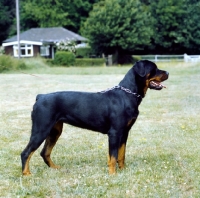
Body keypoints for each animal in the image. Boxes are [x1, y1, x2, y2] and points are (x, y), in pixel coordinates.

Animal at [20, 60, 169, 175]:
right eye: (154, 69)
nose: (167, 72)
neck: (127, 94)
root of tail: (40, 96)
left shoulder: (124, 132)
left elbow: (121, 154)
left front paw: (123, 170)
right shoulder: (114, 133)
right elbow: (113, 156)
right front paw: (113, 174)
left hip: (54, 131)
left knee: (44, 152)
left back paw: (55, 168)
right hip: (41, 129)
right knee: (26, 152)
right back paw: (26, 174)